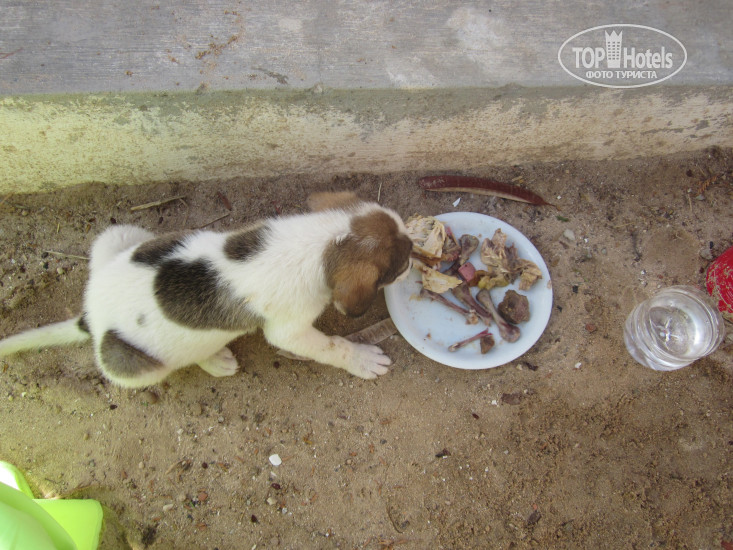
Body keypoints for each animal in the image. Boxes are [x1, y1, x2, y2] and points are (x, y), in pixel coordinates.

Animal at [0, 192, 413, 388]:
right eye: (400, 263)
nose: (415, 262)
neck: (319, 242)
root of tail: (90, 316)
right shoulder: (289, 332)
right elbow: (331, 346)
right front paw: (361, 358)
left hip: (120, 236)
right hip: (129, 366)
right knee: (179, 360)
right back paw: (214, 360)